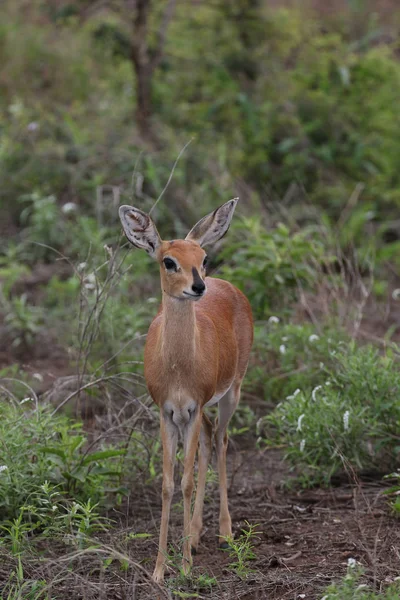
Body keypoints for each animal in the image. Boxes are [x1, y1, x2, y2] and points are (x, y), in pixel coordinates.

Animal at [117, 200, 253, 580]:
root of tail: (227, 286)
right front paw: (159, 568)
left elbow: (186, 482)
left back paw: (224, 533)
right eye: (168, 260)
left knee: (221, 439)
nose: (198, 286)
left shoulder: (190, 409)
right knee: (208, 440)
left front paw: (186, 568)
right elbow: (166, 485)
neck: (177, 369)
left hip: (231, 392)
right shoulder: (167, 412)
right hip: (202, 410)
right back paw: (193, 534)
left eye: (203, 256)